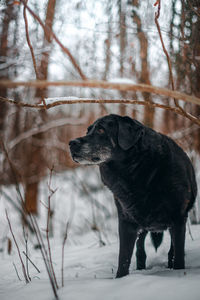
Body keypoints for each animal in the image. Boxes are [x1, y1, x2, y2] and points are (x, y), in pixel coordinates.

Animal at [69, 113, 198, 278]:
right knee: (140, 250)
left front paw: (178, 271)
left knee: (171, 250)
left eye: (100, 130)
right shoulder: (126, 222)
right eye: (88, 131)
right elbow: (123, 258)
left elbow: (178, 255)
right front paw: (121, 279)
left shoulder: (178, 219)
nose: (71, 143)